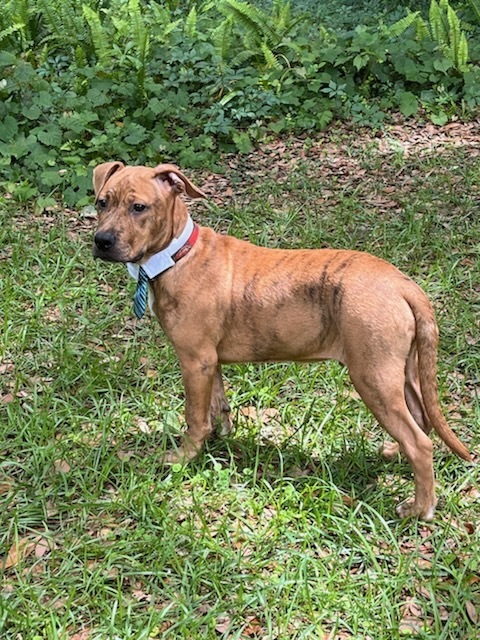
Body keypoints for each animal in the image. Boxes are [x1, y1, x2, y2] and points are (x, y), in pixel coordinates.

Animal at [92, 161, 470, 520]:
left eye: (139, 207)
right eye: (101, 202)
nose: (101, 241)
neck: (177, 254)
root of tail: (403, 283)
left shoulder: (194, 360)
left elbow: (194, 415)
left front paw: (184, 456)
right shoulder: (210, 362)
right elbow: (217, 404)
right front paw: (219, 438)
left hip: (373, 376)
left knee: (419, 443)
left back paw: (420, 509)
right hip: (400, 371)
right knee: (420, 419)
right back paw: (394, 454)